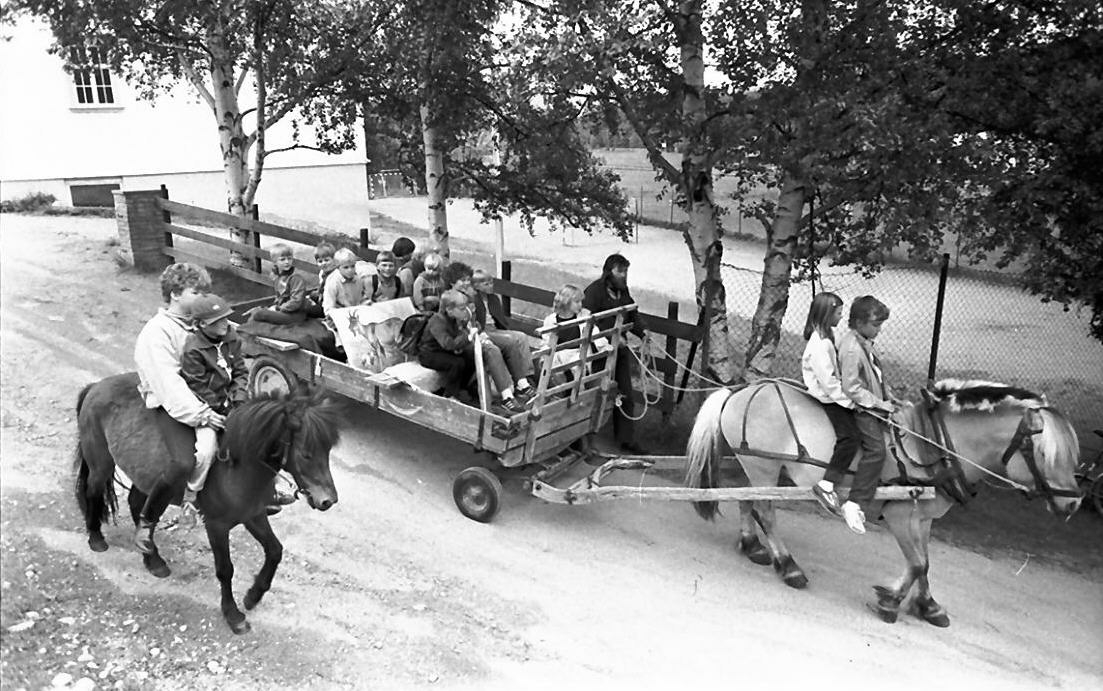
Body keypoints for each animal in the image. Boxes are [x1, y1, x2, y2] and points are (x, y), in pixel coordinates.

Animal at [74, 373, 339, 631]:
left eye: (327, 451)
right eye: (306, 454)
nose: (329, 500)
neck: (236, 467)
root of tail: (95, 386)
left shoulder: (253, 515)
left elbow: (275, 551)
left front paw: (253, 596)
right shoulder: (217, 526)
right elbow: (225, 569)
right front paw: (233, 615)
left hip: (144, 476)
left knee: (137, 504)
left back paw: (152, 558)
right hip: (101, 462)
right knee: (93, 491)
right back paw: (96, 539)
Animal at [683, 377, 1080, 622]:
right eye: (1045, 454)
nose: (1075, 503)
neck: (932, 445)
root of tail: (744, 389)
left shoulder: (924, 518)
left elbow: (925, 562)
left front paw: (927, 605)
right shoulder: (902, 516)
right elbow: (917, 563)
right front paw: (890, 601)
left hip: (761, 469)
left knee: (746, 501)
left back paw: (752, 546)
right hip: (763, 466)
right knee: (764, 511)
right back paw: (789, 566)